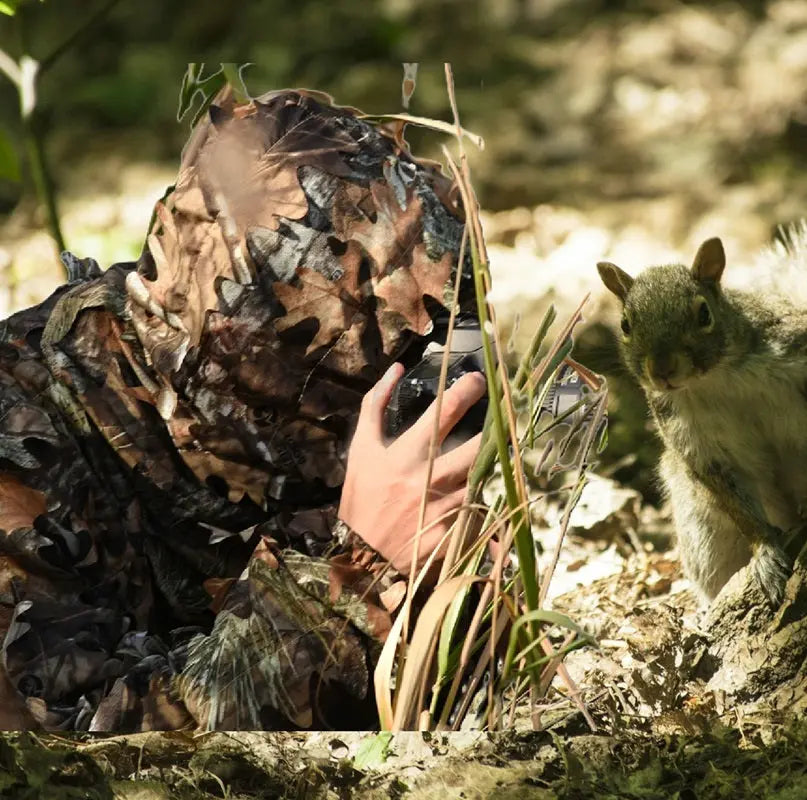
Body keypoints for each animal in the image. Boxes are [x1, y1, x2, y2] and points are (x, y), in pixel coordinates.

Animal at [596, 231, 807, 608]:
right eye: (625, 325)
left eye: (704, 313)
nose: (662, 369)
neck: (713, 380)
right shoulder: (697, 443)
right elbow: (737, 504)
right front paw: (766, 554)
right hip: (703, 535)